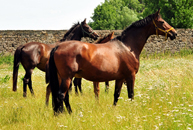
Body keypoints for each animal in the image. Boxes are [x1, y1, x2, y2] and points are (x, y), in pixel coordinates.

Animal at [47, 8, 176, 114]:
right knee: (61, 95)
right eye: (162, 22)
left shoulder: (120, 78)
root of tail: (57, 47)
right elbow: (131, 95)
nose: (174, 33)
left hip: (62, 77)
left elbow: (116, 94)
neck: (127, 46)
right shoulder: (131, 76)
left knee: (62, 95)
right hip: (67, 77)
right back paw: (67, 114)